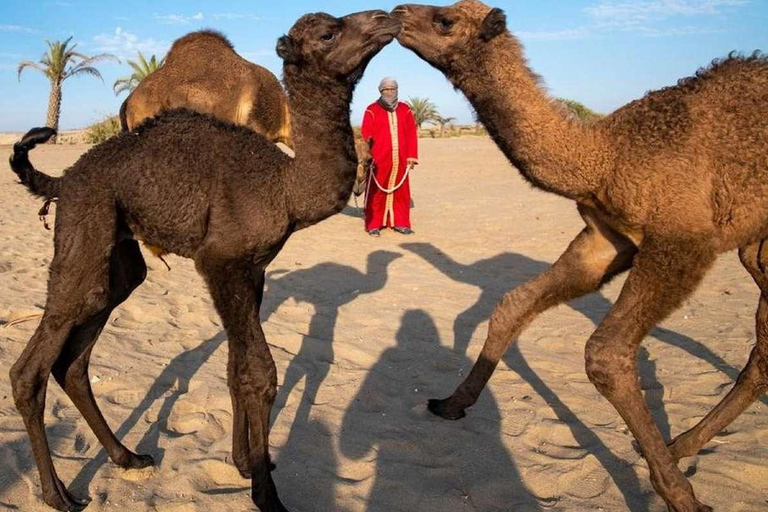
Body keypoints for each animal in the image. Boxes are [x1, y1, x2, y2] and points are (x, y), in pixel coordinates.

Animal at [392, 2, 764, 510]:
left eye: (445, 20)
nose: (396, 14)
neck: (604, 157)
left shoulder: (683, 239)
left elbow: (605, 353)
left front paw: (682, 498)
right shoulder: (606, 239)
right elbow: (513, 305)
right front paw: (451, 403)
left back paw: (680, 448)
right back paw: (681, 443)